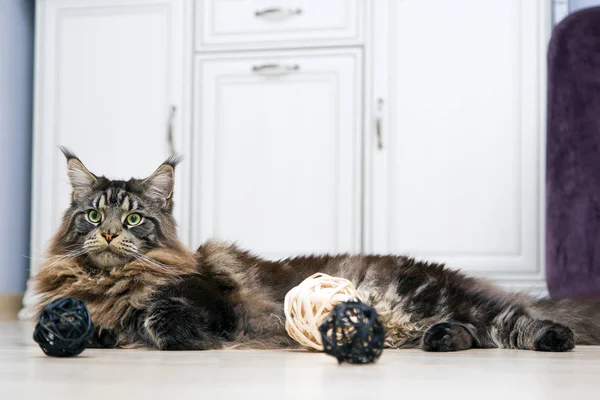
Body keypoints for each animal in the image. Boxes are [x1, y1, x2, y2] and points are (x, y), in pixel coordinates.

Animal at [34, 152, 600, 352]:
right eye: (93, 217)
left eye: (132, 219)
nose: (110, 235)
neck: (111, 282)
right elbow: (94, 325)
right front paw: (81, 332)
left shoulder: (207, 300)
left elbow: (159, 316)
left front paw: (177, 339)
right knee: (478, 333)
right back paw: (442, 341)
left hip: (433, 296)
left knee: (513, 322)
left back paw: (554, 338)